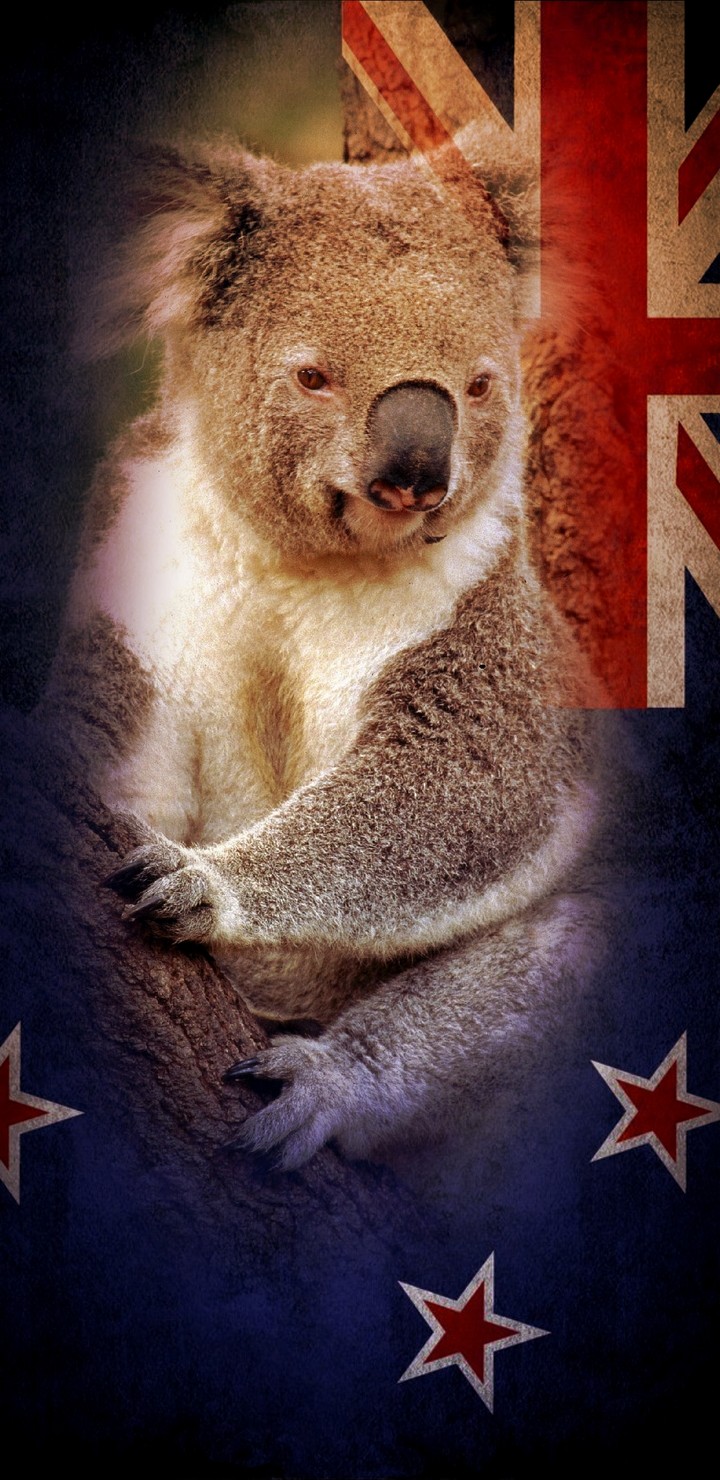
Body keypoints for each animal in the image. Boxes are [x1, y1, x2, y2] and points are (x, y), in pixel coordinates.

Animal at [48, 124, 610, 1170]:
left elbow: (464, 786)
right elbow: (114, 754)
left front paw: (201, 885)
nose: (416, 473)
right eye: (313, 376)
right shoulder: (140, 564)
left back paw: (324, 1082)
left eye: (481, 384)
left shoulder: (483, 607)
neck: (299, 562)